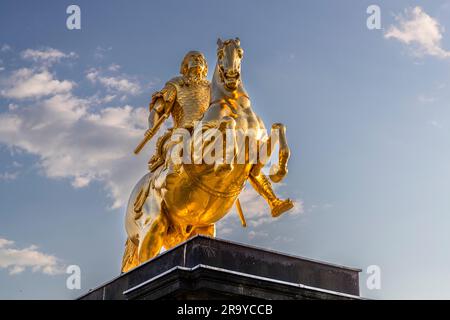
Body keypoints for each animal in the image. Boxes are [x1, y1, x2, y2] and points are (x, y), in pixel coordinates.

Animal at [122, 37, 292, 272]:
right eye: (220, 54)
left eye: (240, 52)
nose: (231, 76)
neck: (235, 106)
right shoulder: (199, 149)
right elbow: (225, 124)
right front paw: (225, 163)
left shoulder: (257, 147)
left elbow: (278, 129)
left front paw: (278, 172)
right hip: (152, 228)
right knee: (144, 259)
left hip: (197, 228)